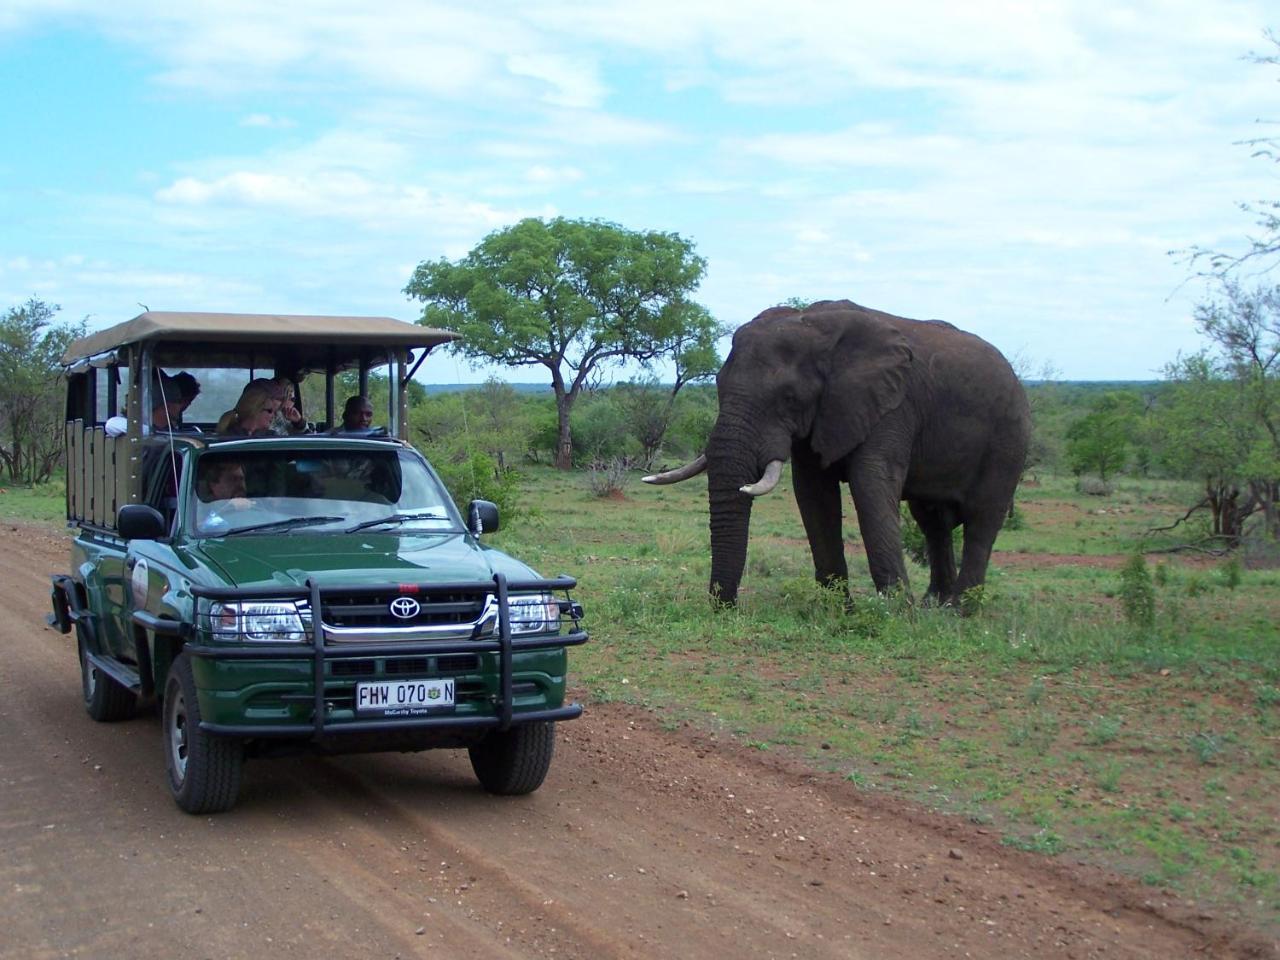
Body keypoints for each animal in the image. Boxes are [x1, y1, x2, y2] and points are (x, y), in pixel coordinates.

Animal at [645, 299, 1034, 609]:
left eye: (789, 397)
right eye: (717, 386)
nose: (725, 606)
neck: (814, 325)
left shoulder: (891, 405)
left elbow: (870, 484)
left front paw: (896, 614)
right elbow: (813, 493)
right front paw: (839, 609)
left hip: (1009, 436)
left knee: (982, 519)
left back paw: (958, 611)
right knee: (933, 522)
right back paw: (933, 604)